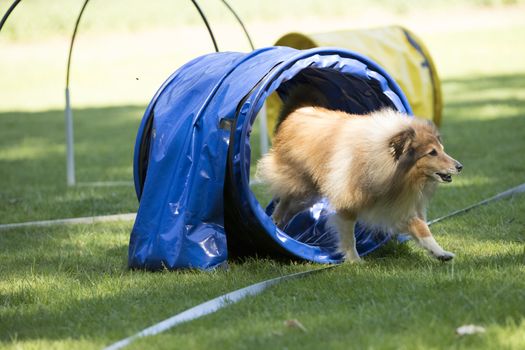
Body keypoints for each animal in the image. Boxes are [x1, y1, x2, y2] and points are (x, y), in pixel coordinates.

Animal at [256, 100, 460, 262]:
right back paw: (274, 223)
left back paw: (278, 228)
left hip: (309, 195)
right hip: (300, 186)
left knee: (288, 207)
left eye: (442, 149)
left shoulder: (396, 204)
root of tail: (295, 113)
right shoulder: (348, 203)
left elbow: (421, 228)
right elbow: (349, 236)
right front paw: (355, 261)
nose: (460, 166)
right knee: (284, 200)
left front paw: (441, 253)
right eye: (432, 153)